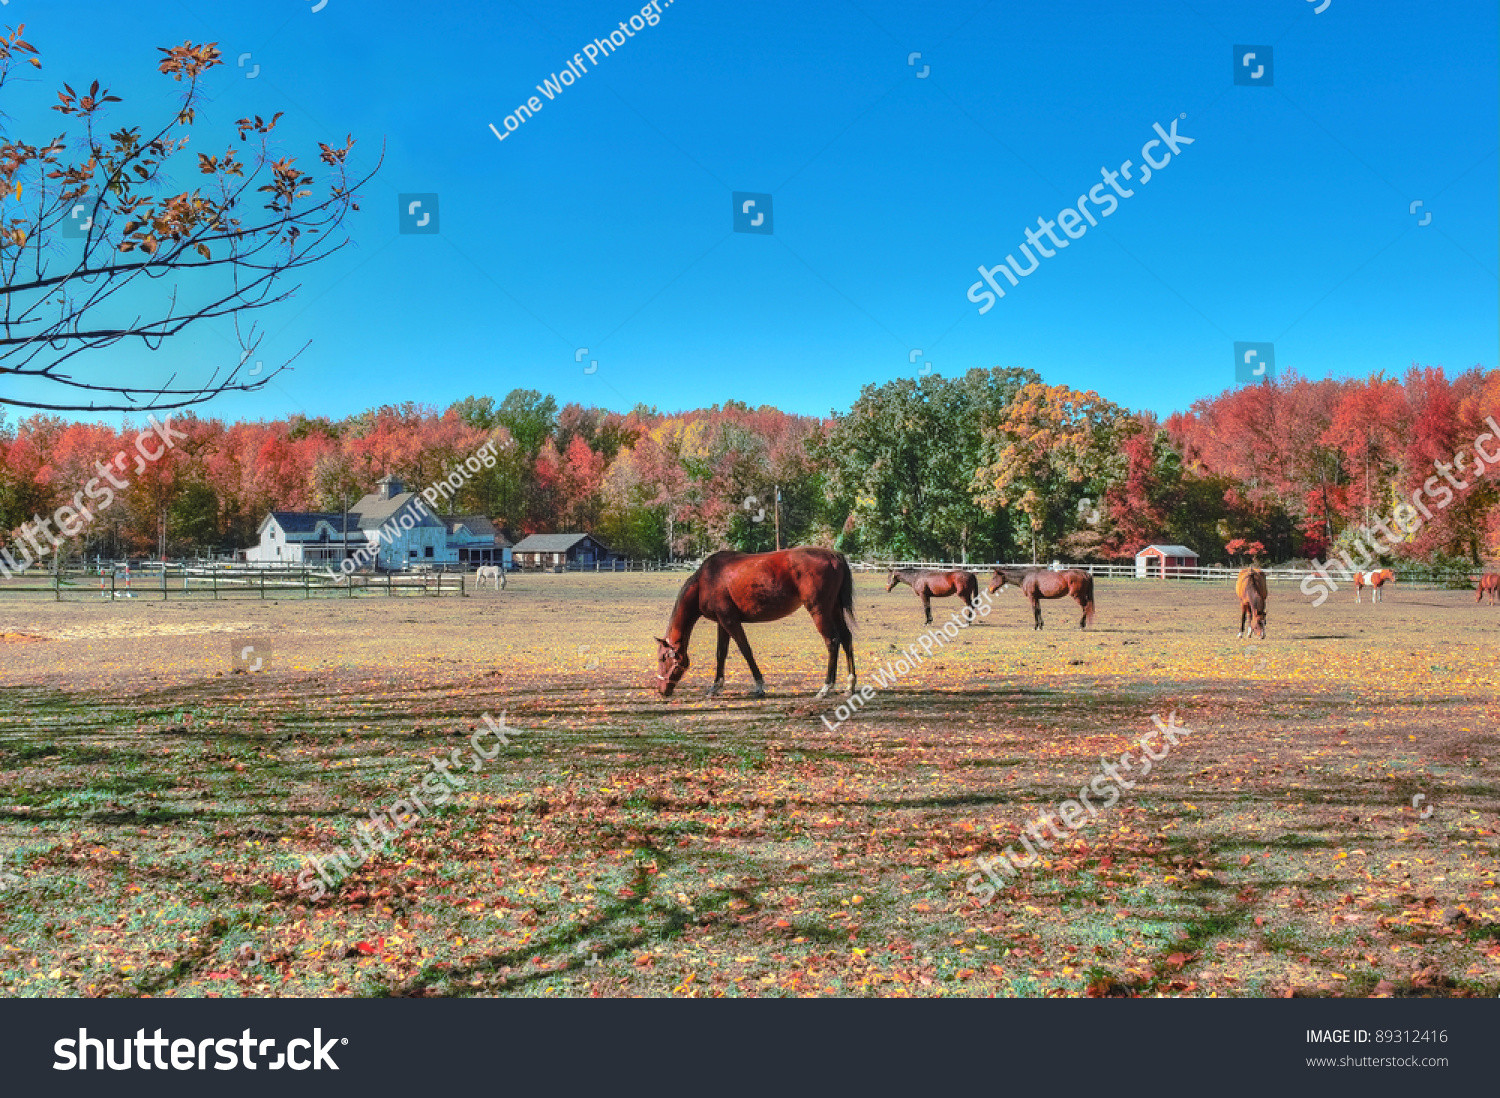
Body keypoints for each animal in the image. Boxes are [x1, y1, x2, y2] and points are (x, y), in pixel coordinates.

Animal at [657, 546, 858, 699]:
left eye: (663, 658)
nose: (661, 691)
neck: (705, 581)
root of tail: (833, 555)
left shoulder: (730, 621)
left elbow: (746, 650)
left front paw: (759, 686)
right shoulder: (722, 623)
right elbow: (721, 653)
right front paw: (715, 686)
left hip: (820, 611)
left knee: (832, 641)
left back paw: (826, 687)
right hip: (834, 609)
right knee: (846, 638)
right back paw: (850, 685)